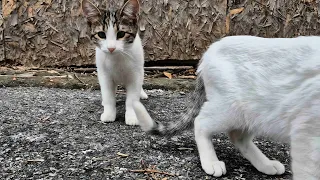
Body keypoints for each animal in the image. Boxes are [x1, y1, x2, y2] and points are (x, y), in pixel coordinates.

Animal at [133, 35, 320, 179]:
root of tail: (210, 50)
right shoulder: (306, 131)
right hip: (230, 108)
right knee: (201, 122)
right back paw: (211, 162)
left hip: (256, 112)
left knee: (238, 136)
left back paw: (265, 164)